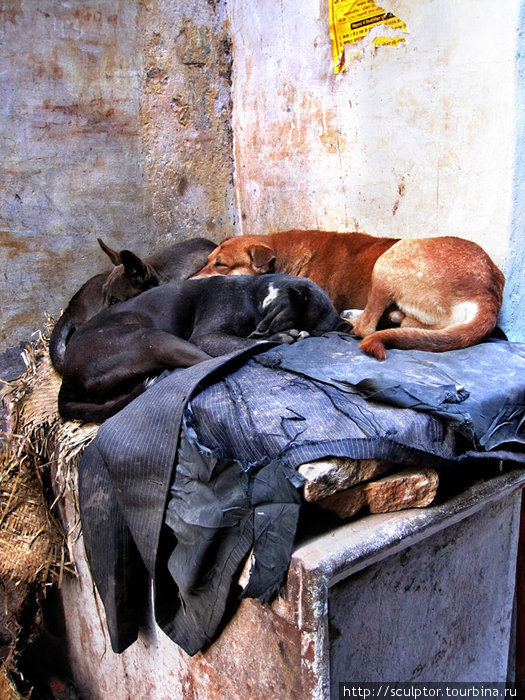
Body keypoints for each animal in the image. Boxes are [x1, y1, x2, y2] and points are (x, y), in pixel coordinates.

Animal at [57, 274, 340, 424]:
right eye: (281, 319)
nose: (263, 328)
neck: (257, 295)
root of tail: (68, 379)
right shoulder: (207, 336)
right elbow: (255, 342)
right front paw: (281, 338)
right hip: (152, 338)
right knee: (204, 363)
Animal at [192, 231, 504, 358]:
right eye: (206, 260)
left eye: (221, 264)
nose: (187, 282)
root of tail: (488, 292)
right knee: (410, 324)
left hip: (391, 258)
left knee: (366, 328)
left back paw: (354, 320)